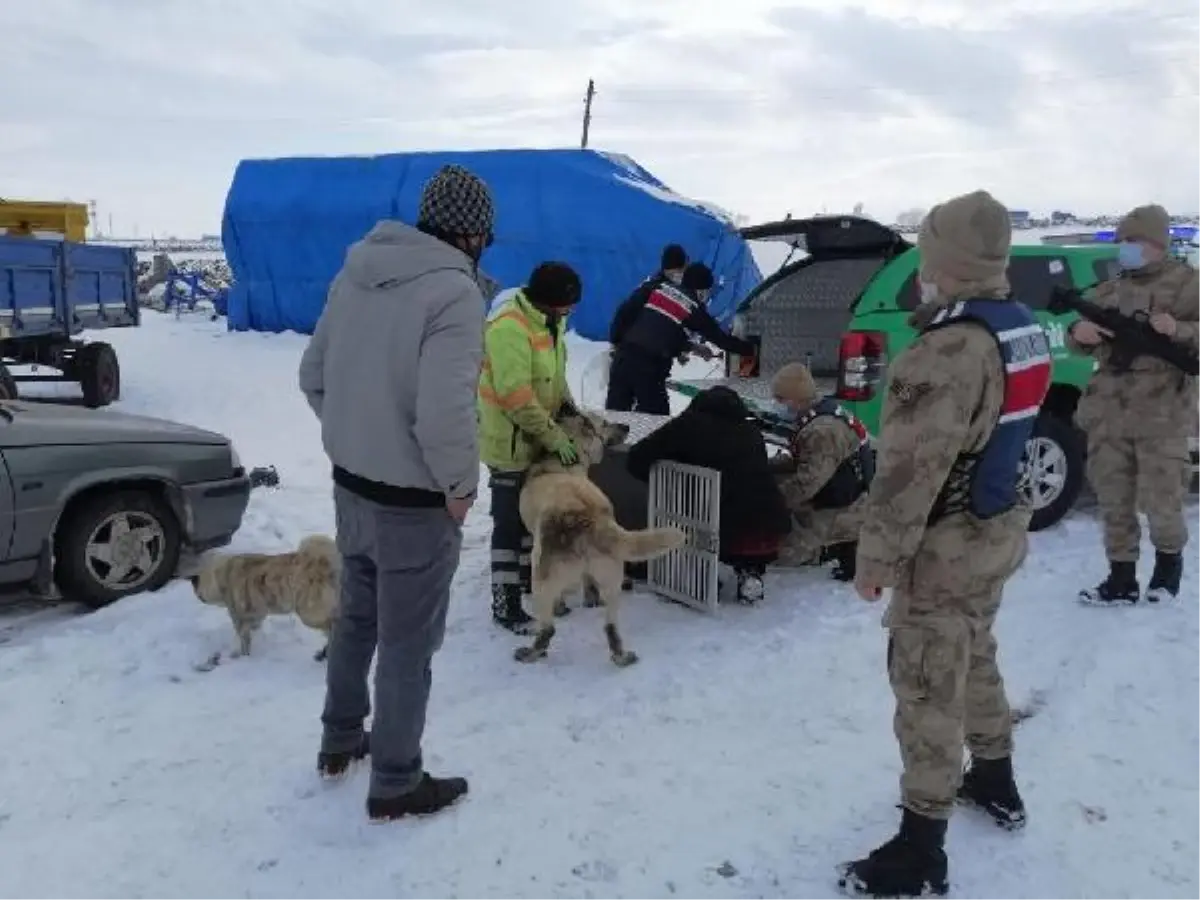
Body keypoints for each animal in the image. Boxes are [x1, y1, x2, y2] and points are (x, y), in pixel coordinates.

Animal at [188, 535, 338, 662]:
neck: (223, 574)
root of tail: (323, 564)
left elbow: (243, 640)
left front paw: (241, 657)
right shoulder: (255, 614)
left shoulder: (239, 617)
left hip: (310, 614)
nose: (197, 593)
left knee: (330, 627)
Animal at [513, 410, 686, 672]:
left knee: (548, 628)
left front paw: (564, 607)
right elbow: (588, 584)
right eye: (604, 423)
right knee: (611, 626)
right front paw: (589, 599)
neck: (563, 462)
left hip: (541, 574)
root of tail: (591, 518)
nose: (626, 426)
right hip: (612, 580)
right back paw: (621, 656)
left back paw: (532, 652)